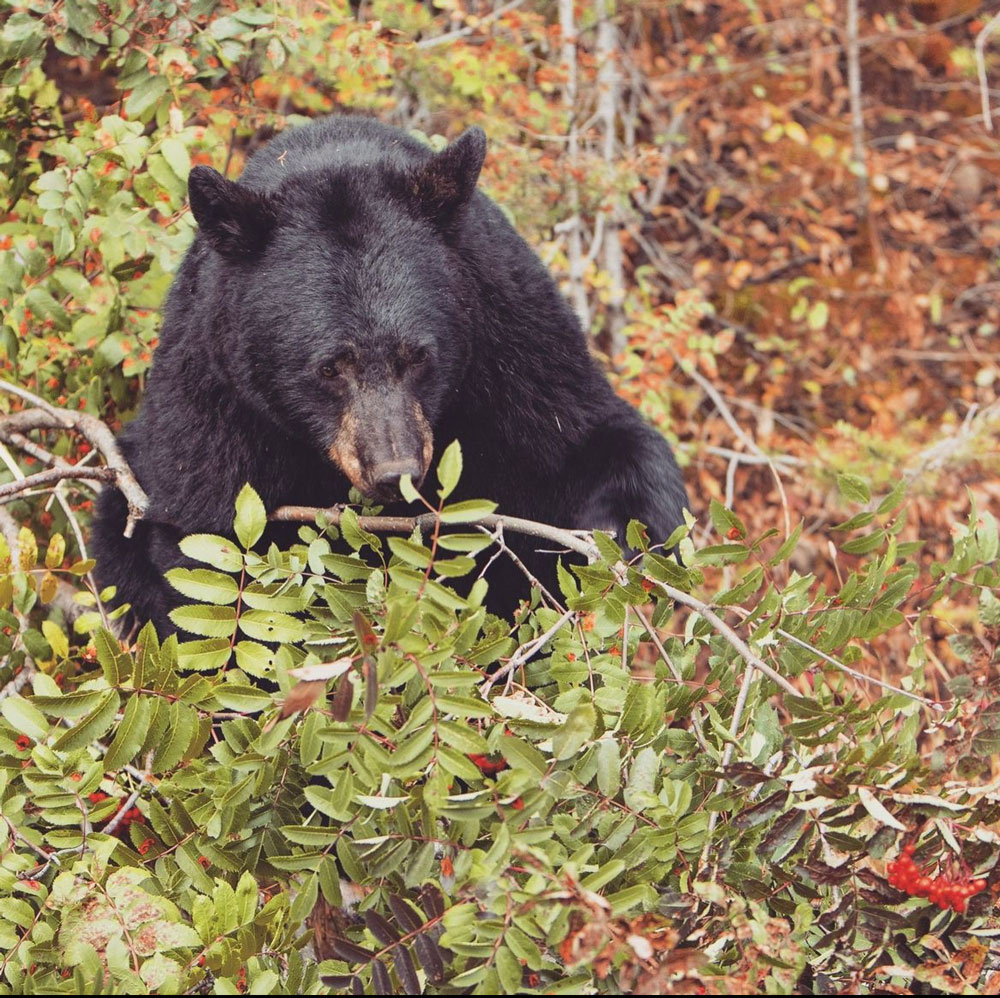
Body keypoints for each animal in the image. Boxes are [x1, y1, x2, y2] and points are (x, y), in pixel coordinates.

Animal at [92, 117, 688, 632]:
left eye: (418, 356)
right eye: (330, 367)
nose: (393, 471)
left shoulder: (515, 340)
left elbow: (587, 440)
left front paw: (616, 538)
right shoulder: (214, 398)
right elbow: (204, 539)